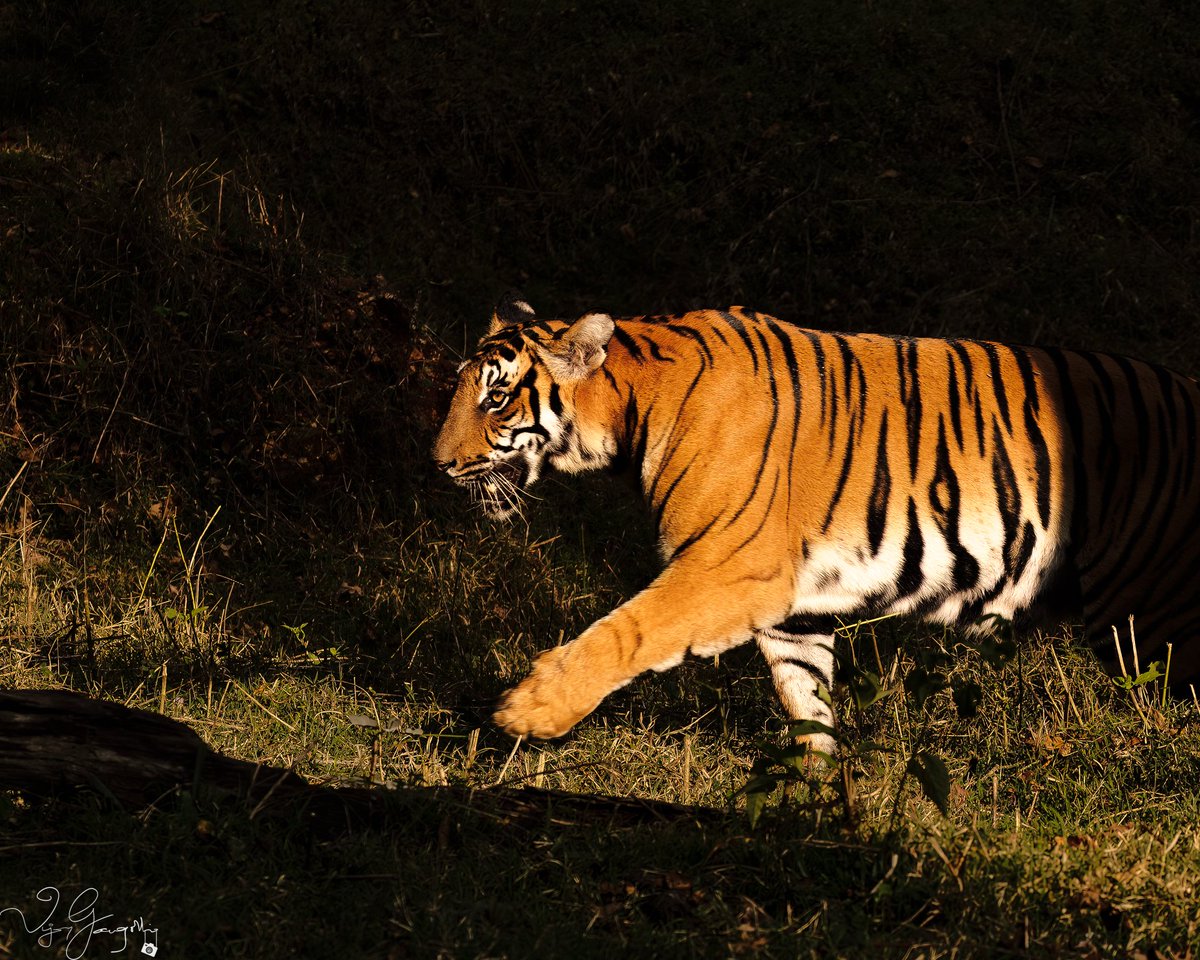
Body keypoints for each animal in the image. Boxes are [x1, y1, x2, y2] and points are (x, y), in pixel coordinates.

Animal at [432, 295, 1200, 753]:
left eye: (496, 399)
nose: (438, 464)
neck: (633, 409)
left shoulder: (727, 569)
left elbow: (628, 630)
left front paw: (529, 710)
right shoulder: (792, 603)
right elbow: (804, 693)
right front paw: (818, 788)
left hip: (1158, 618)